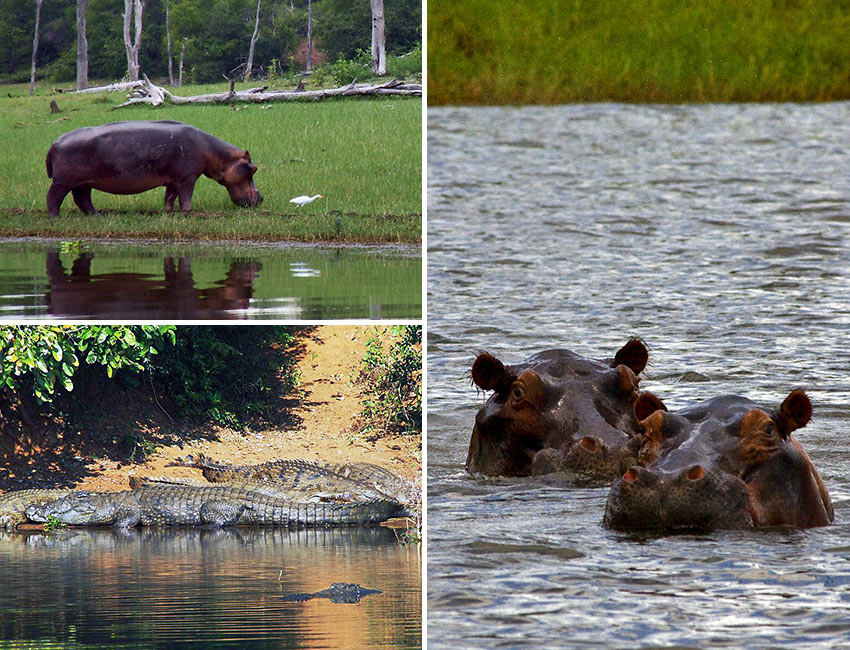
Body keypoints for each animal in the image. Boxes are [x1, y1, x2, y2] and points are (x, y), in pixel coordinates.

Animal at [45, 119, 262, 215]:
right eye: (253, 169)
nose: (260, 198)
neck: (216, 154)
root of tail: (54, 143)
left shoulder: (174, 179)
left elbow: (170, 196)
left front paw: (169, 211)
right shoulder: (188, 176)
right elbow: (185, 195)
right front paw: (188, 212)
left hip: (83, 182)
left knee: (82, 199)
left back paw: (96, 216)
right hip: (62, 182)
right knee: (54, 197)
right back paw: (55, 217)